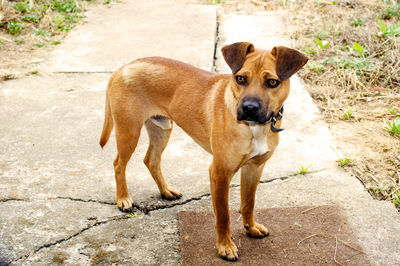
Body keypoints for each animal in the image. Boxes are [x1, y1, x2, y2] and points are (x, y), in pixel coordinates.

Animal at [98, 42, 308, 260]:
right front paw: (225, 246)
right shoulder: (220, 173)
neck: (255, 128)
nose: (249, 108)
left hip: (162, 128)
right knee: (118, 164)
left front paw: (251, 228)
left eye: (272, 82)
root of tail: (122, 68)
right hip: (129, 131)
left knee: (151, 160)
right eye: (240, 79)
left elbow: (248, 203)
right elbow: (223, 215)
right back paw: (123, 199)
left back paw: (166, 191)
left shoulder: (254, 168)